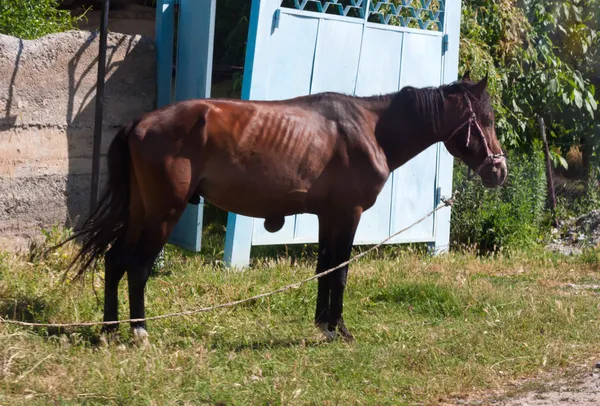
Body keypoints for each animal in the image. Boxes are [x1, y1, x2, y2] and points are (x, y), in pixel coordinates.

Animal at [59, 70, 506, 342]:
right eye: (485, 120)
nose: (498, 170)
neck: (369, 129)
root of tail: (139, 123)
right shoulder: (348, 215)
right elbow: (341, 271)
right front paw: (340, 328)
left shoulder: (329, 217)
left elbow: (326, 268)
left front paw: (324, 324)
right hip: (163, 213)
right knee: (137, 266)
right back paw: (139, 331)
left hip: (140, 211)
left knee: (115, 261)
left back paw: (110, 330)